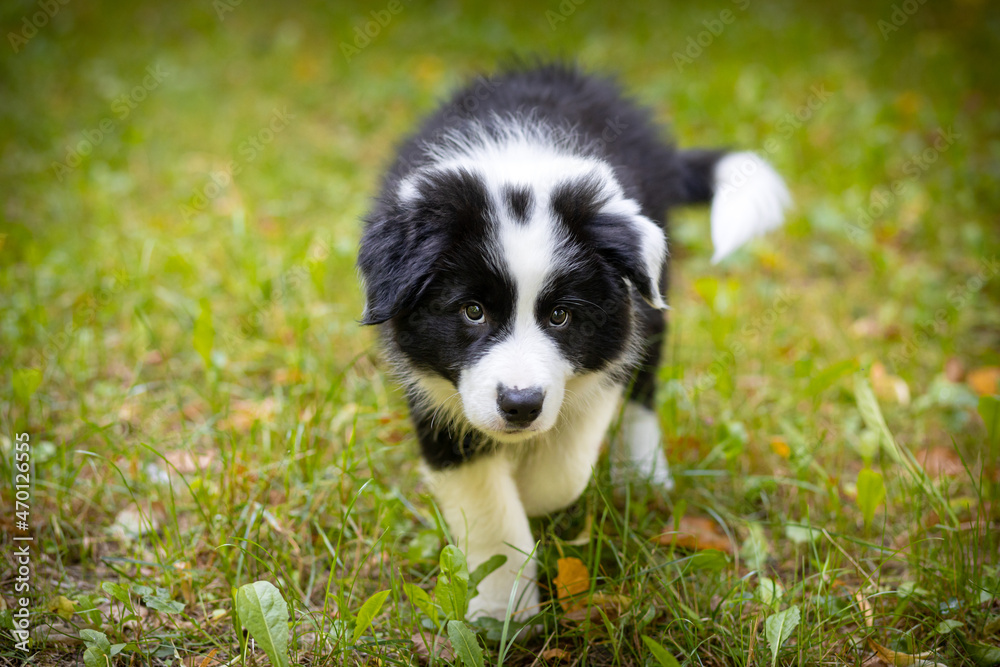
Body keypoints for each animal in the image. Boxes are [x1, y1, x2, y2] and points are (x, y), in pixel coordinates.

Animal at [360, 62, 788, 620]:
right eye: (472, 311)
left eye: (561, 316)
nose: (521, 406)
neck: (516, 161)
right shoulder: (433, 390)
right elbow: (485, 501)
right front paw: (502, 610)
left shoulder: (610, 346)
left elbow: (562, 470)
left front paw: (531, 493)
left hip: (653, 299)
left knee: (643, 389)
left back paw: (642, 472)